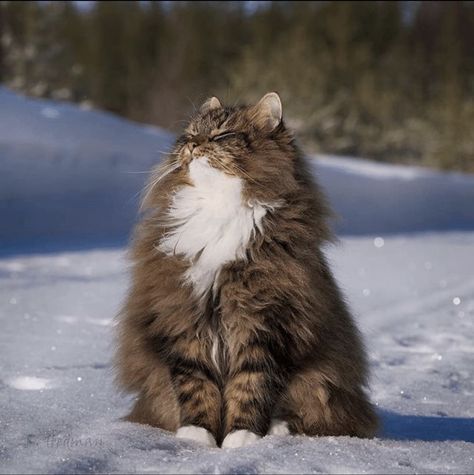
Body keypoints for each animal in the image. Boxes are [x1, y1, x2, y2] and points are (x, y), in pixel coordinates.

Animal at [116, 93, 380, 450]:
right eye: (189, 135)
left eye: (222, 136)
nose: (194, 145)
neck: (218, 209)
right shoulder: (182, 317)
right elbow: (194, 384)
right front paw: (197, 436)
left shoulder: (267, 322)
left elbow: (252, 385)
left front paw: (241, 438)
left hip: (320, 382)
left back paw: (278, 429)